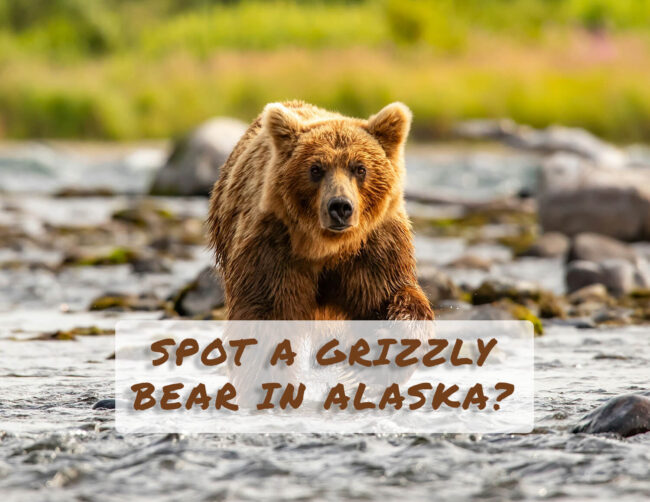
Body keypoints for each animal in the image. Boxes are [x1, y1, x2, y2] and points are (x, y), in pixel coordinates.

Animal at [207, 100, 433, 321]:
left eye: (360, 168)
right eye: (315, 169)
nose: (340, 206)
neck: (326, 247)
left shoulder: (375, 245)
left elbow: (388, 294)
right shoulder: (273, 244)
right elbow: (269, 307)